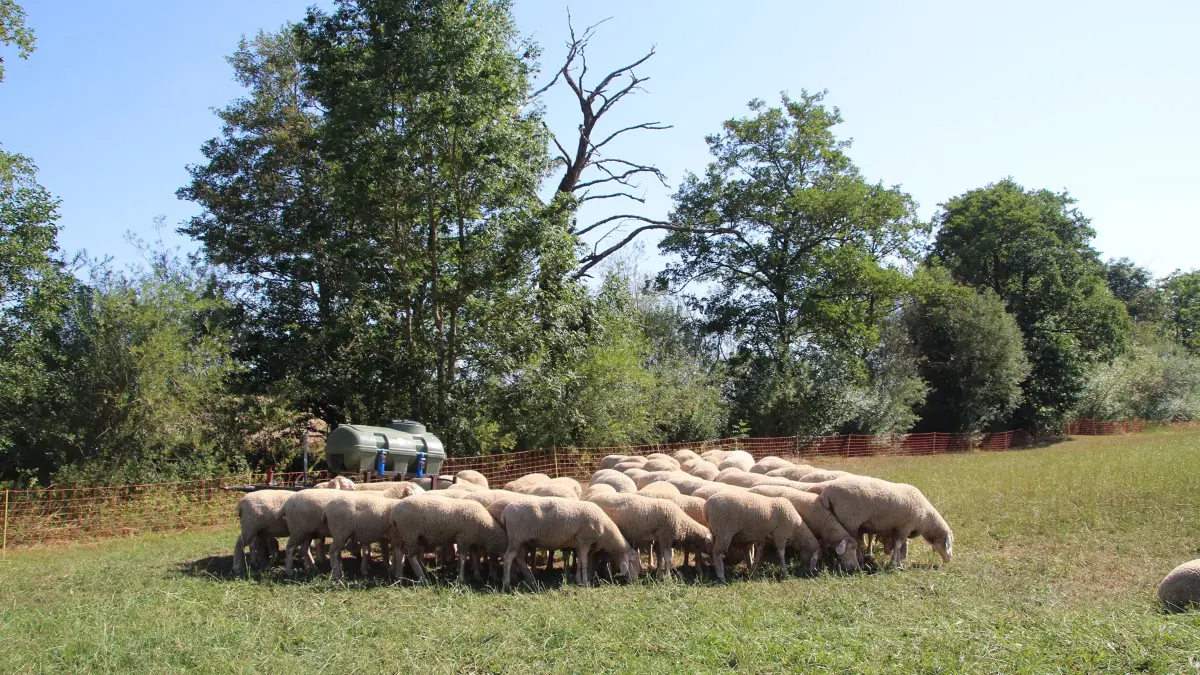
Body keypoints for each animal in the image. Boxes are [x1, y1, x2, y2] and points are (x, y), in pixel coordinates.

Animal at [500, 498, 640, 591]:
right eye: (631, 562)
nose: (635, 582)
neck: (606, 530)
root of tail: (505, 512)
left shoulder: (579, 544)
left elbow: (580, 563)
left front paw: (578, 580)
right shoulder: (584, 541)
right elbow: (584, 563)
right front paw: (585, 582)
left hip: (526, 541)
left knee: (520, 558)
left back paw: (531, 580)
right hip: (516, 538)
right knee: (508, 558)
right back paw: (506, 584)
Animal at [809, 475, 953, 568]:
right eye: (948, 543)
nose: (949, 559)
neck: (927, 519)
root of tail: (827, 492)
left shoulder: (897, 527)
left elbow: (898, 545)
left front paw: (896, 560)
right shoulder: (905, 526)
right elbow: (898, 545)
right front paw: (895, 564)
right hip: (849, 520)